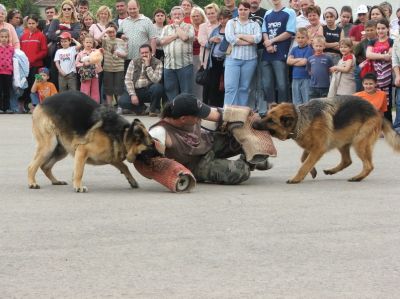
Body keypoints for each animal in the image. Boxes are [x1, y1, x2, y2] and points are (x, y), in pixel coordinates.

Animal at [28, 91, 158, 192]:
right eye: (151, 146)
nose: (161, 155)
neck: (122, 134)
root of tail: (41, 103)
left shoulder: (111, 158)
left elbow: (124, 166)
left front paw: (132, 180)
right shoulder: (82, 150)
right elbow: (79, 172)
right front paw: (78, 186)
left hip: (61, 150)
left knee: (45, 166)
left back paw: (56, 181)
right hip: (49, 146)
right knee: (31, 166)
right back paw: (32, 183)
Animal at [253, 97, 400, 184]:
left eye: (271, 121)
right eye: (265, 116)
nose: (253, 124)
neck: (301, 118)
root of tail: (378, 113)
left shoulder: (318, 148)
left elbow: (305, 164)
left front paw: (297, 178)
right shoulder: (311, 147)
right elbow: (304, 160)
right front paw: (312, 171)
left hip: (359, 142)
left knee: (369, 165)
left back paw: (357, 177)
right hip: (343, 141)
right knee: (347, 161)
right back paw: (332, 171)